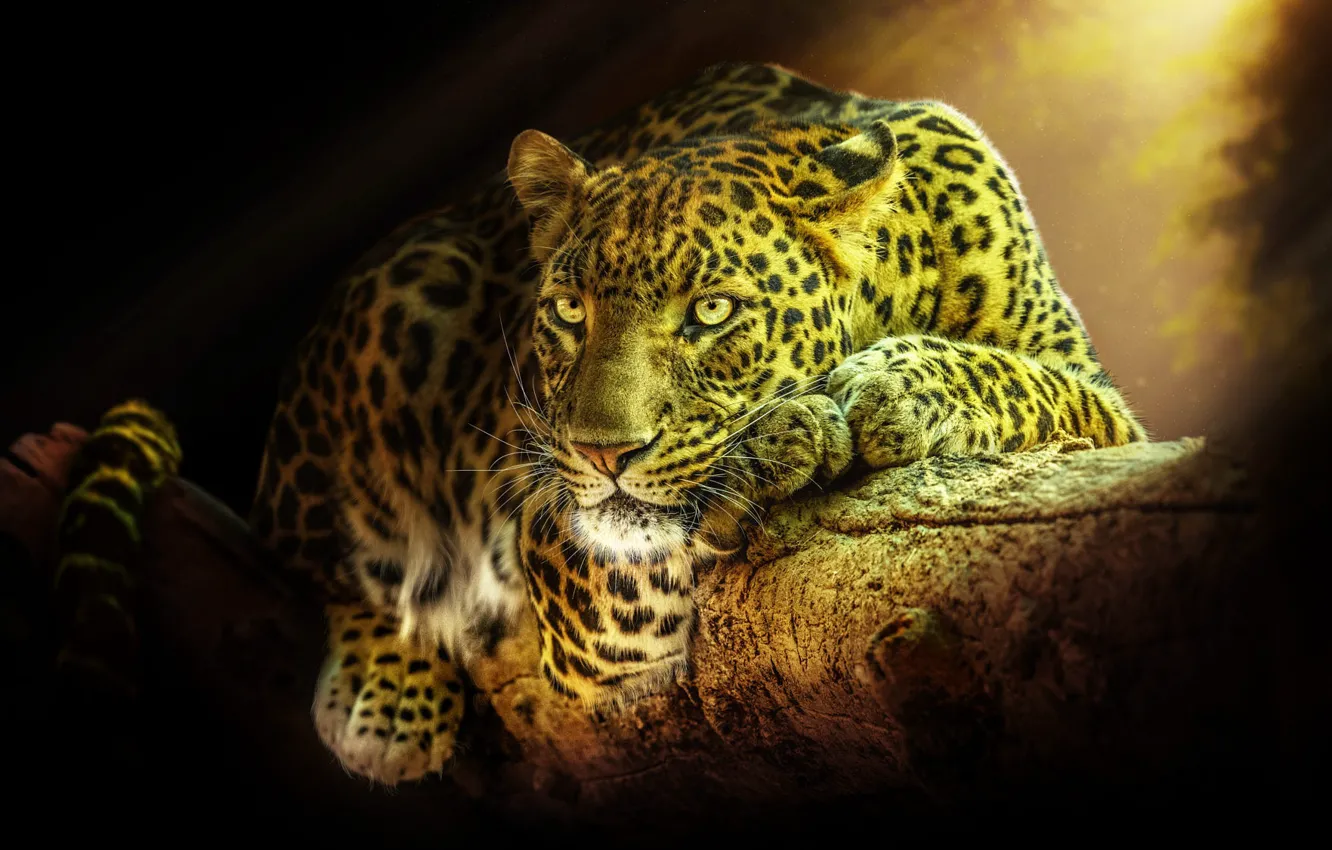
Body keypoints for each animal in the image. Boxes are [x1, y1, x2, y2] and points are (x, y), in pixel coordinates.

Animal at [248, 62, 1146, 785]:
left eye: (712, 311)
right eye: (569, 311)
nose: (601, 453)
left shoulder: (1103, 407)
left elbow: (1029, 382)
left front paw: (890, 386)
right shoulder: (548, 521)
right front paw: (778, 443)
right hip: (405, 291)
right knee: (320, 550)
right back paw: (384, 703)